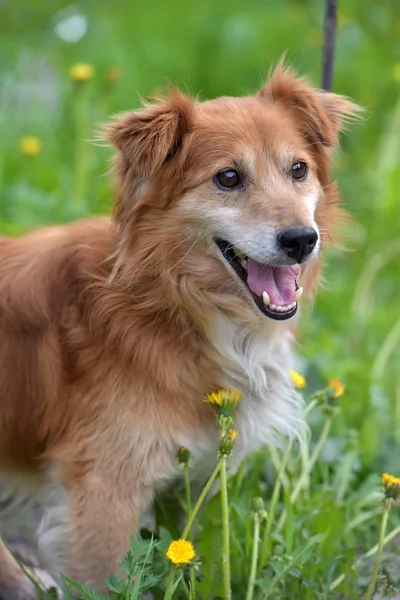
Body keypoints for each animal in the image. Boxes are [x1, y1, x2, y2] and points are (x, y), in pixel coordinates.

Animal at [0, 65, 360, 596]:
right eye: (228, 177)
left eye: (298, 169)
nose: (301, 240)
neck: (173, 307)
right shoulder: (103, 494)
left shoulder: (198, 475)